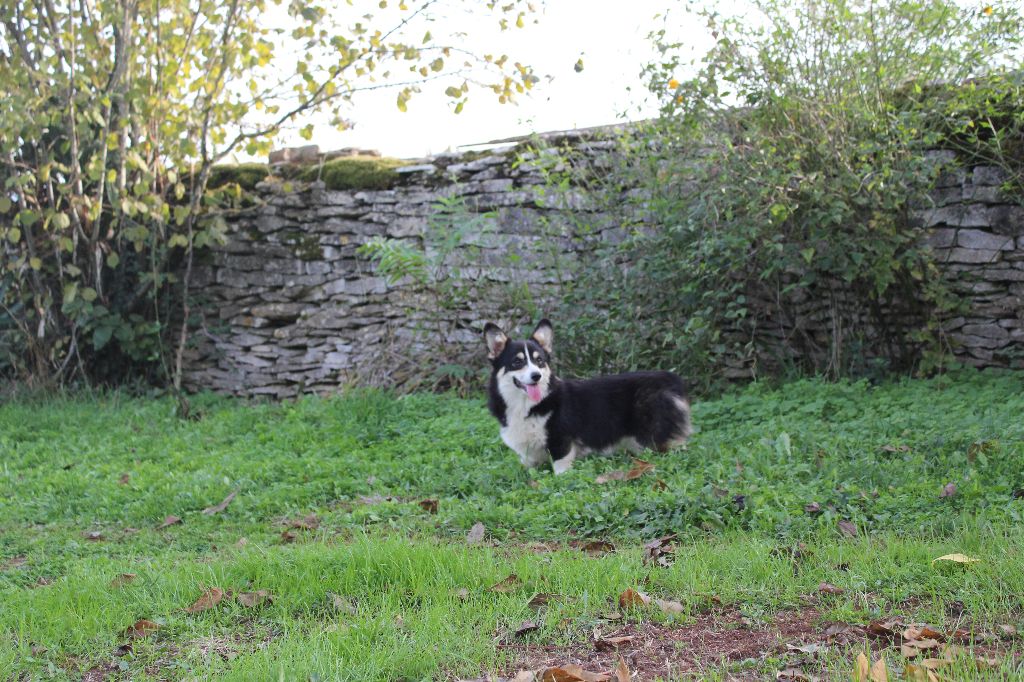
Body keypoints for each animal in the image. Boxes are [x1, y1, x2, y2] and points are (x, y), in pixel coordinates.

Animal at [483, 319, 692, 473]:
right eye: (517, 362)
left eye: (539, 361)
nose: (537, 376)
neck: (527, 405)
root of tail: (671, 379)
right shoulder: (528, 457)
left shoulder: (561, 443)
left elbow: (560, 472)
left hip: (653, 437)